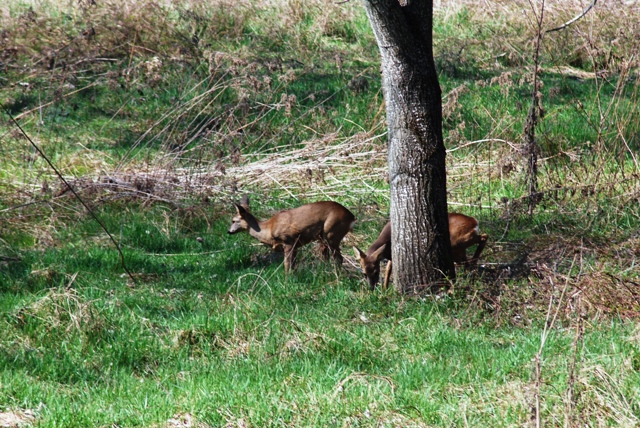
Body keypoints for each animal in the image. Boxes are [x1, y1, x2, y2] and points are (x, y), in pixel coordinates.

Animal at [228, 196, 356, 272]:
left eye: (233, 220)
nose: (228, 231)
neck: (268, 230)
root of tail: (351, 217)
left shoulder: (289, 240)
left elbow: (287, 264)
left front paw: (287, 281)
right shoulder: (296, 245)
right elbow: (293, 265)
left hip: (331, 232)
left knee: (338, 258)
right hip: (323, 237)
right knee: (327, 257)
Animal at [352, 214, 488, 290]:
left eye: (375, 271)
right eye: (364, 273)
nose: (371, 288)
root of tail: (475, 222)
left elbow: (388, 270)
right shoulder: (391, 255)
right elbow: (388, 271)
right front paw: (385, 290)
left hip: (456, 243)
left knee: (484, 237)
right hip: (459, 248)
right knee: (468, 260)